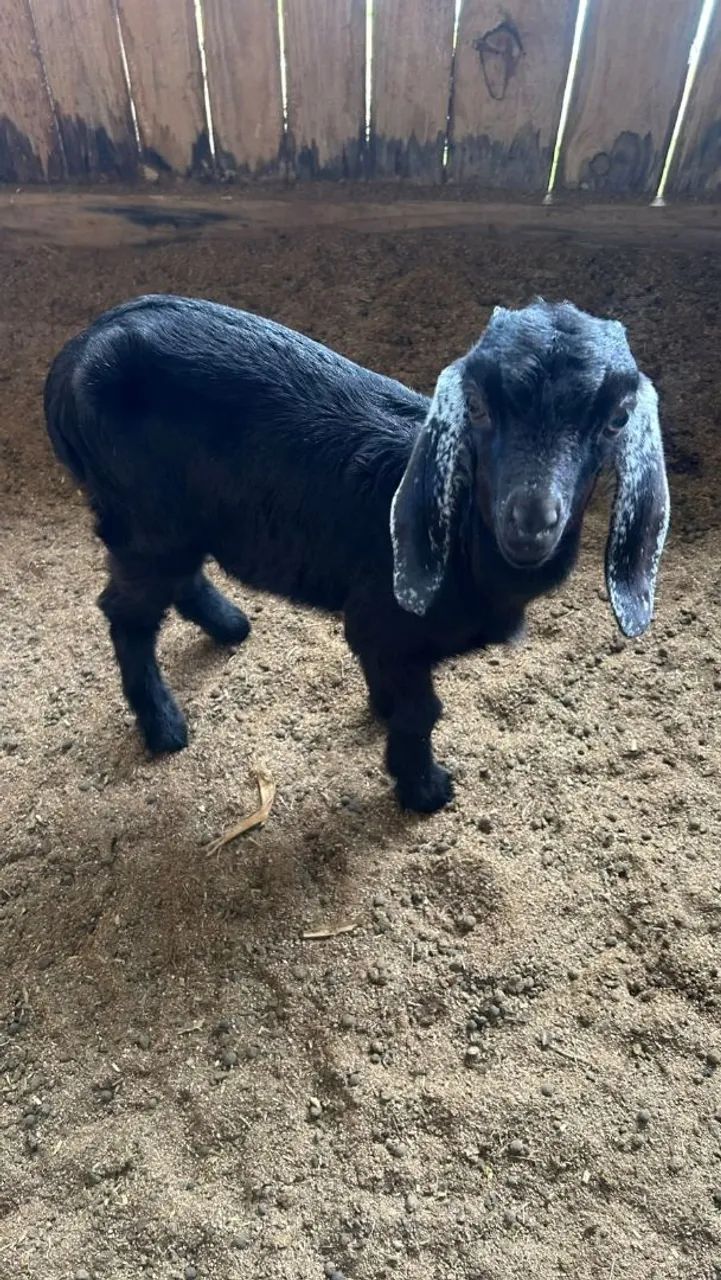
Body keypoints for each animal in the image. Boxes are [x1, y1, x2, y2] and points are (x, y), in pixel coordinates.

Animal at [44, 295, 670, 813]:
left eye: (616, 418)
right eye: (476, 406)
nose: (531, 521)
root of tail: (77, 349)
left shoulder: (381, 626)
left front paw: (382, 712)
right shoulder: (384, 616)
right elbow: (421, 711)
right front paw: (423, 789)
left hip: (173, 522)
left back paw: (229, 626)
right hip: (144, 518)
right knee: (128, 613)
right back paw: (163, 726)